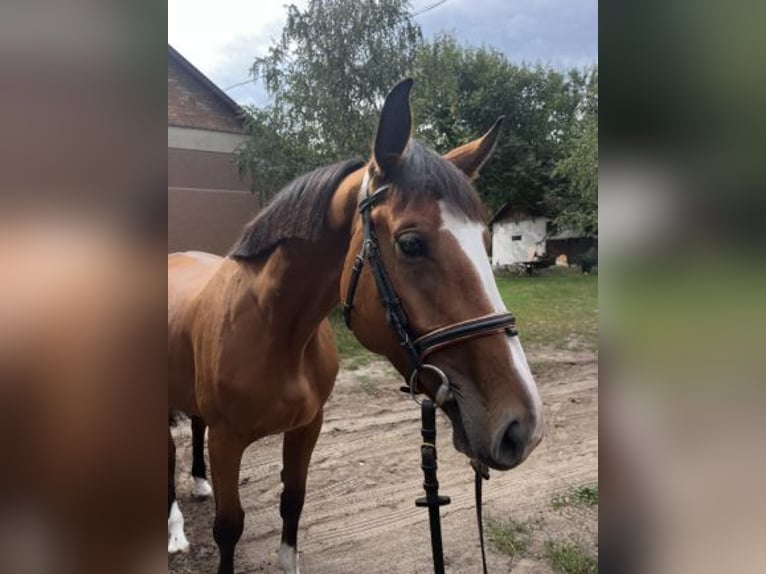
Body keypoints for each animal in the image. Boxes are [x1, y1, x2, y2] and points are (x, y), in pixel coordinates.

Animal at [167, 79, 544, 574]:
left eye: (486, 241)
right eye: (410, 243)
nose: (523, 426)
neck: (277, 333)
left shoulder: (307, 428)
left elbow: (293, 501)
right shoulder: (227, 441)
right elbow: (229, 527)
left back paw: (197, 483)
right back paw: (174, 531)